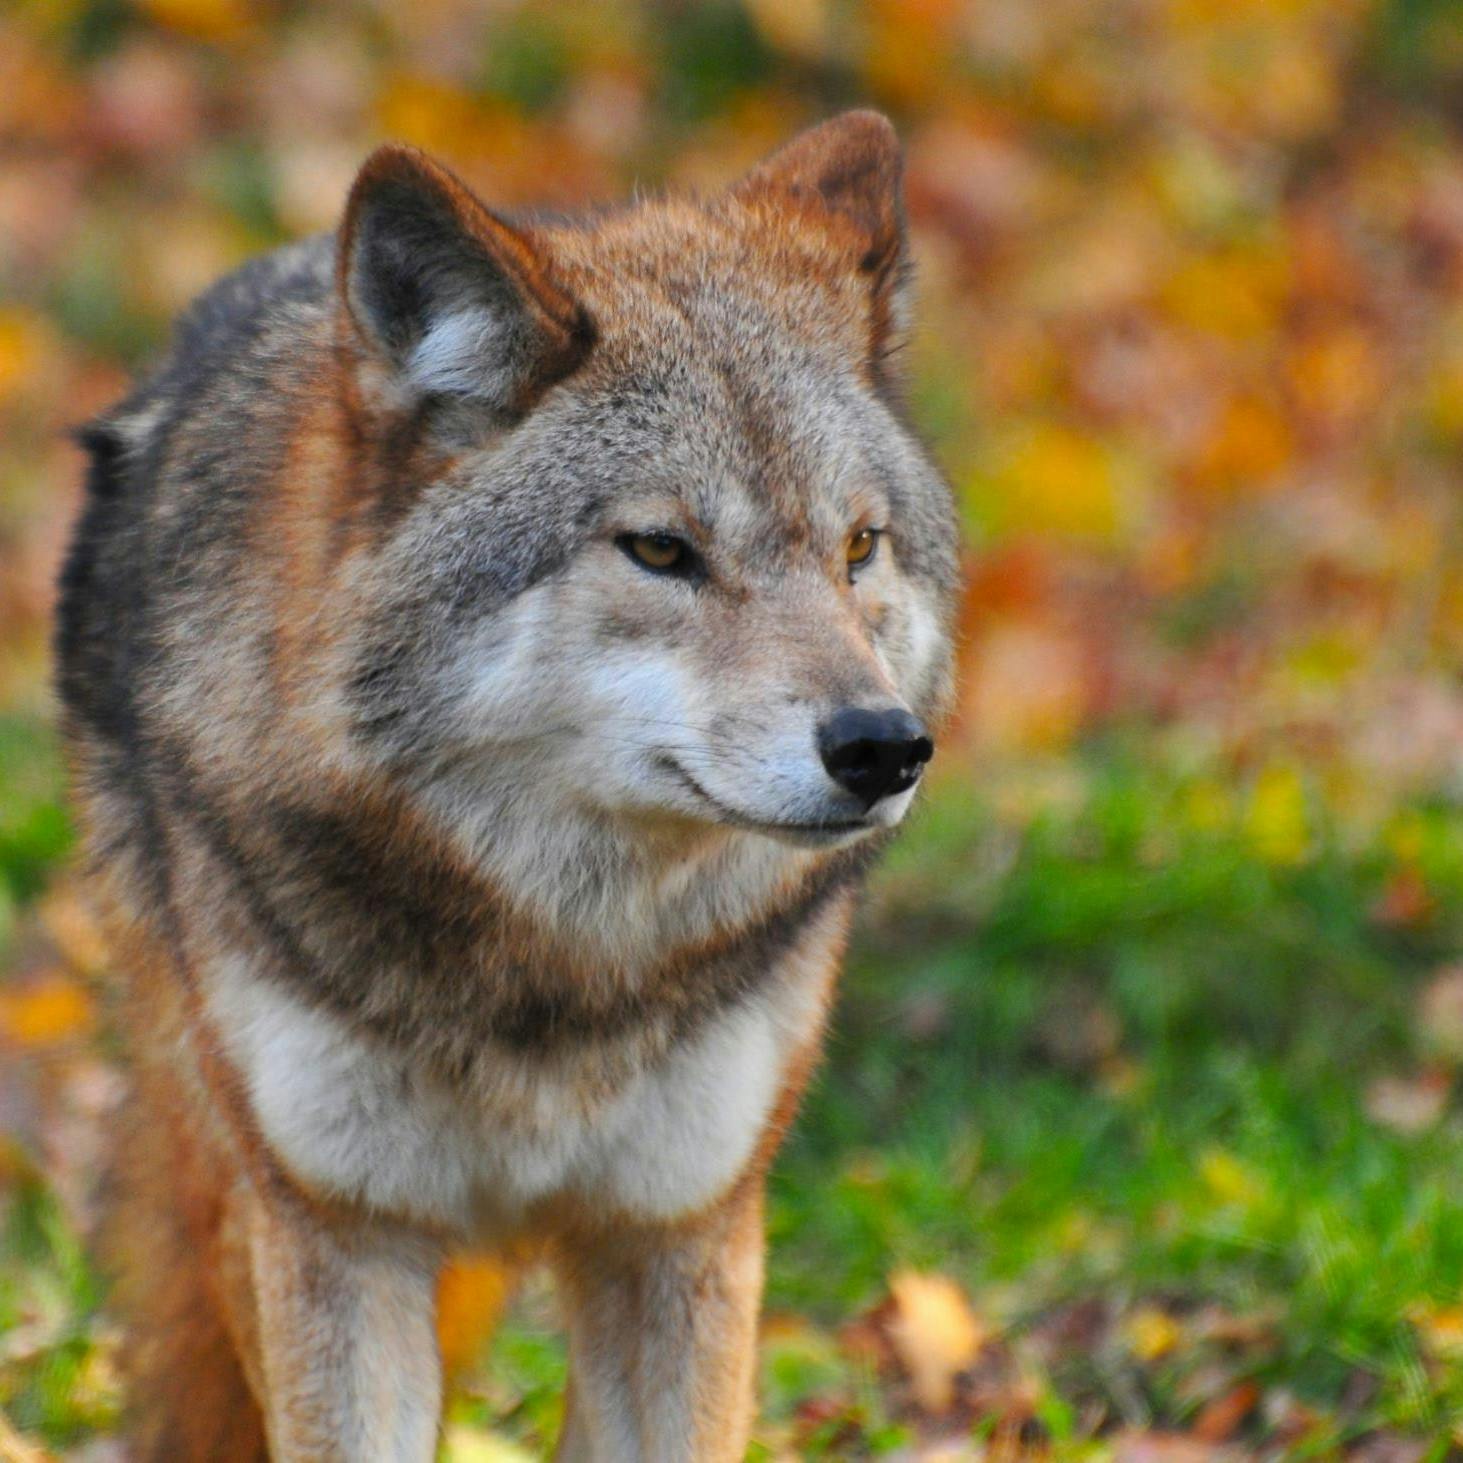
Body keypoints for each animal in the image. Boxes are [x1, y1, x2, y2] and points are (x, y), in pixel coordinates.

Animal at [51, 108, 959, 1457]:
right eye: (660, 549)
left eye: (859, 547)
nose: (882, 745)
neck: (556, 970)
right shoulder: (335, 1235)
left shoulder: (679, 1230)